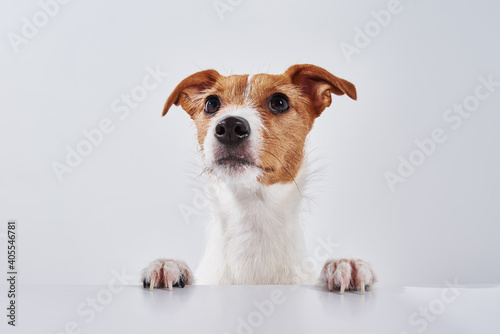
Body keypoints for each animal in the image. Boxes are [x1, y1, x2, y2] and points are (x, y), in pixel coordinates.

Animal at [141, 64, 376, 294]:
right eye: (211, 103)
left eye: (279, 102)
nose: (229, 127)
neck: (252, 215)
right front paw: (168, 266)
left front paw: (345, 266)